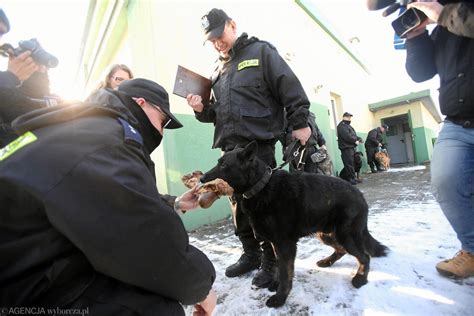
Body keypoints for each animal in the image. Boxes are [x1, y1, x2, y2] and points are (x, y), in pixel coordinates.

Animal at [202, 142, 386, 308]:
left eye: (223, 165)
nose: (202, 178)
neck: (261, 186)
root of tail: (360, 196)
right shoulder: (276, 244)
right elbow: (280, 267)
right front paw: (276, 285)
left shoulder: (285, 245)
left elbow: (285, 272)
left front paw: (280, 297)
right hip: (325, 234)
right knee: (341, 250)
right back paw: (327, 262)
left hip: (345, 236)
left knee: (364, 256)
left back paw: (360, 278)